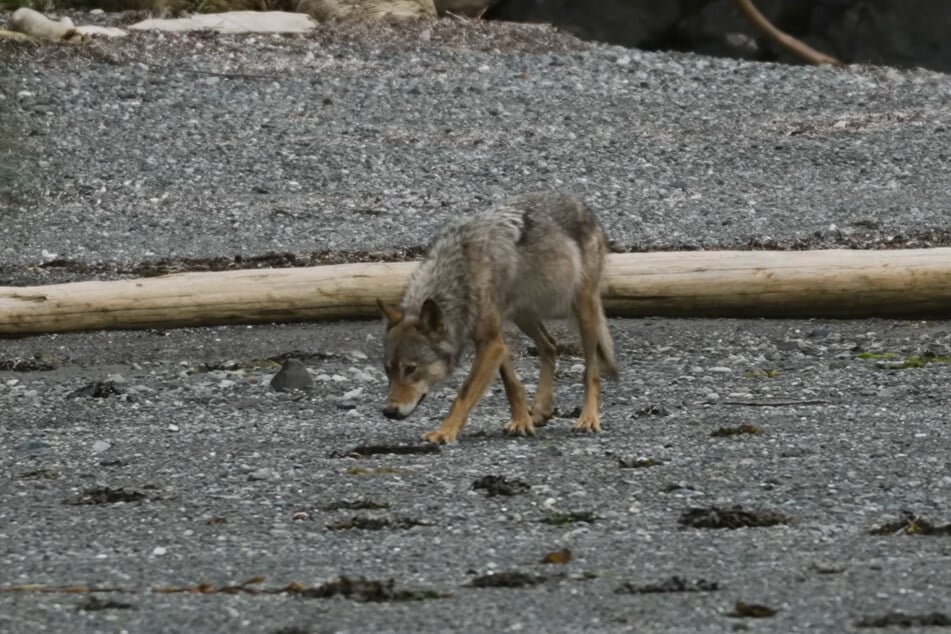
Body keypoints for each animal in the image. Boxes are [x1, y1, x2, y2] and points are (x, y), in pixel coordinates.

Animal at [376, 190, 620, 442]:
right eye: (387, 369)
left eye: (411, 369)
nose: (389, 411)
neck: (462, 274)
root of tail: (581, 204)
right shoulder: (495, 341)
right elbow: (511, 383)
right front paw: (521, 421)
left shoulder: (490, 342)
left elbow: (464, 393)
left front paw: (444, 432)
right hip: (523, 316)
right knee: (550, 345)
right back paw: (541, 409)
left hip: (584, 312)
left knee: (591, 370)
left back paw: (588, 419)